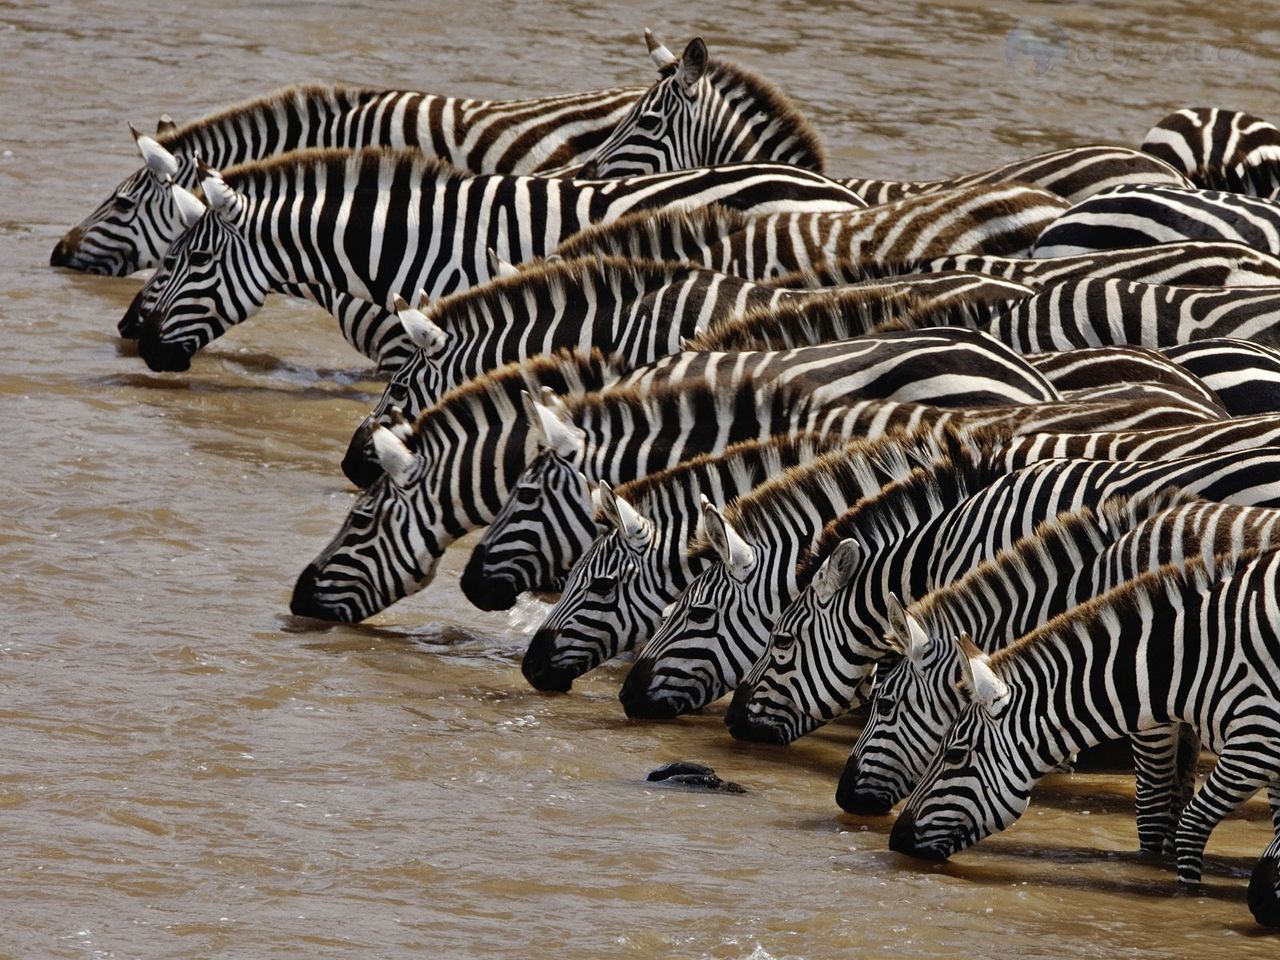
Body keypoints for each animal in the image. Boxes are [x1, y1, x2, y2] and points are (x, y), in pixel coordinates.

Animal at [887, 549, 1280, 928]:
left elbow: (1189, 827)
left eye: (954, 754)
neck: (1184, 661)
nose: (895, 839)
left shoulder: (1254, 740)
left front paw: (1189, 898)